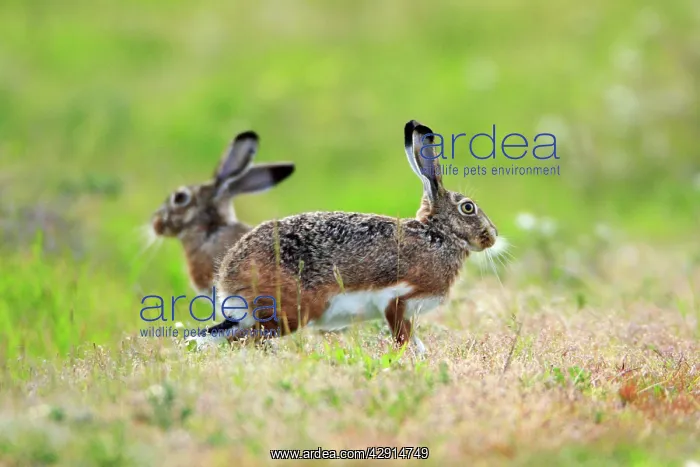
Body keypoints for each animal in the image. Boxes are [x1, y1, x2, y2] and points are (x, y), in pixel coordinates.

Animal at [196, 120, 498, 355]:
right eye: (468, 208)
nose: (492, 237)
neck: (438, 235)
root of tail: (228, 275)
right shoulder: (397, 299)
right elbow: (403, 337)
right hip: (290, 311)